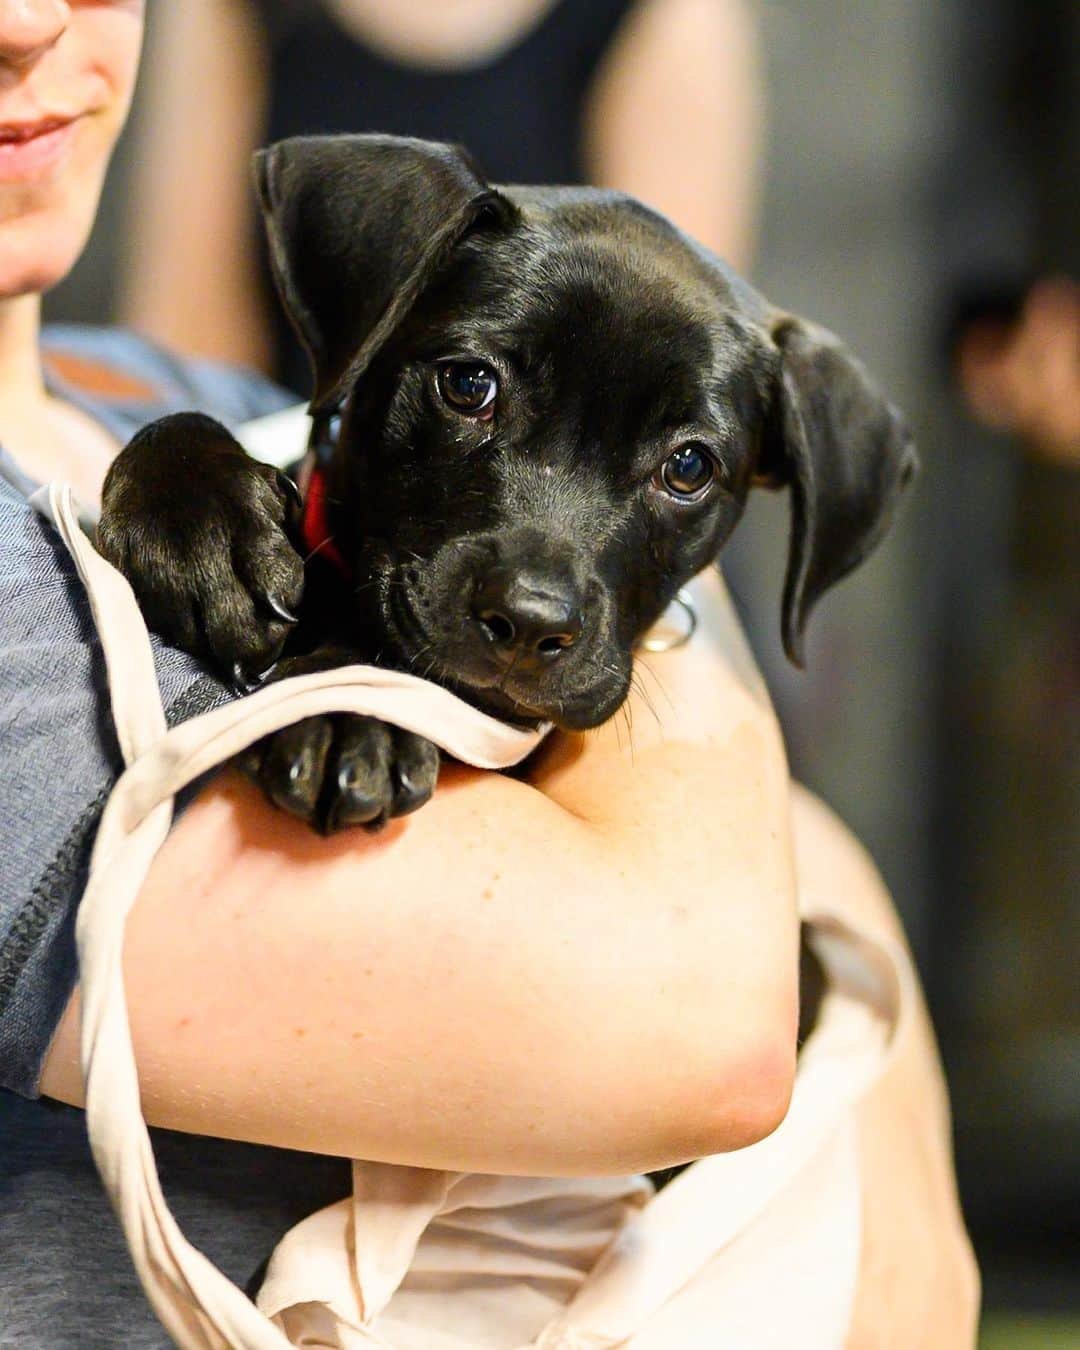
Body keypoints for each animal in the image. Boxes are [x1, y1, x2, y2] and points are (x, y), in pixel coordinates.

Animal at [97, 134, 918, 831]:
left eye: (689, 468)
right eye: (468, 384)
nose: (528, 624)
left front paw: (350, 714)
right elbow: (177, 429)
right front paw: (198, 528)